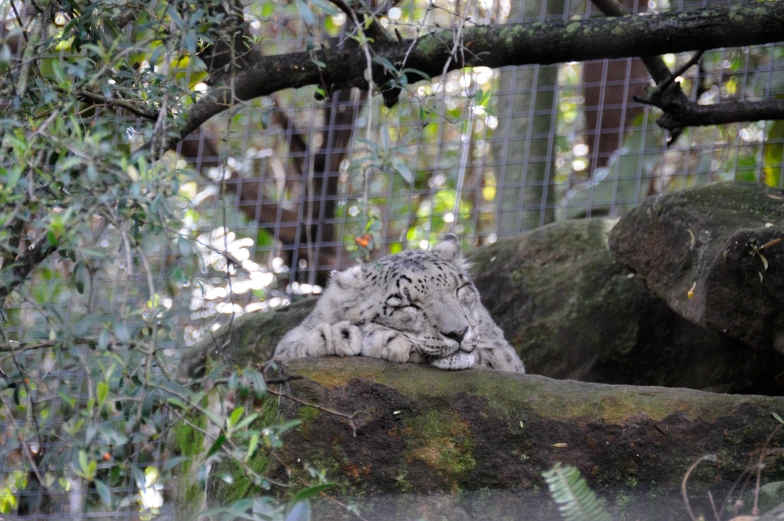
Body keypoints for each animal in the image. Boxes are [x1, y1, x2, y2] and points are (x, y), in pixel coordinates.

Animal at [272, 234, 524, 372]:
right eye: (405, 305)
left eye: (459, 288)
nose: (459, 332)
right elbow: (288, 351)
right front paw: (336, 336)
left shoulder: (504, 352)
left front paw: (382, 340)